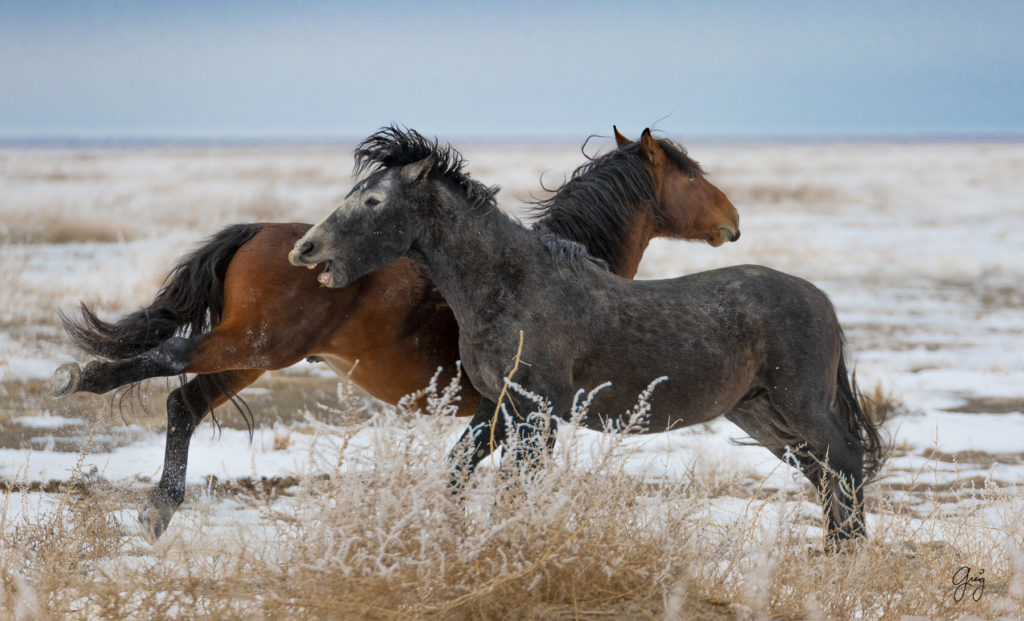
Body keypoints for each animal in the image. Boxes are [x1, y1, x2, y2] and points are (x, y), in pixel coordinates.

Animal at [51, 127, 737, 541]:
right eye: (692, 175)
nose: (732, 220)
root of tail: (262, 232)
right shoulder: (506, 411)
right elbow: (472, 472)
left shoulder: (495, 413)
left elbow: (458, 471)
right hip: (258, 344)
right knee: (169, 359)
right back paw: (84, 379)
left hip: (252, 357)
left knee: (183, 403)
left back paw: (158, 511)